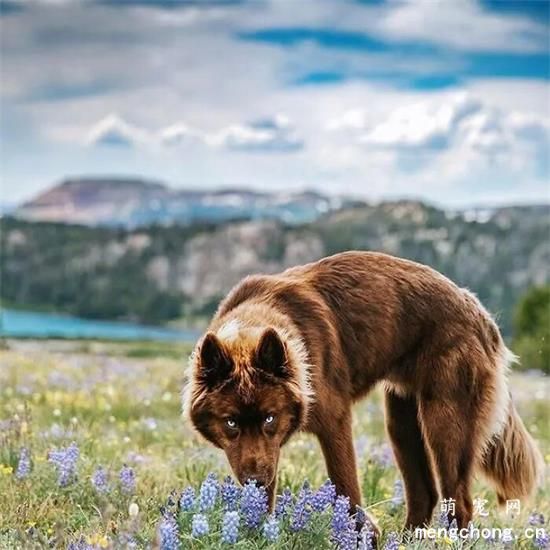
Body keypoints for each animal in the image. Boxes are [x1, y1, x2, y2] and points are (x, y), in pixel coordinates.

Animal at [184, 253, 544, 536]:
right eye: (230, 423)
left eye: (270, 418)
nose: (255, 481)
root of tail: (479, 311)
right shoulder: (266, 450)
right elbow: (266, 498)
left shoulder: (333, 422)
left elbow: (346, 488)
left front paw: (363, 535)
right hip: (401, 420)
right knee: (424, 494)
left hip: (445, 422)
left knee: (459, 503)